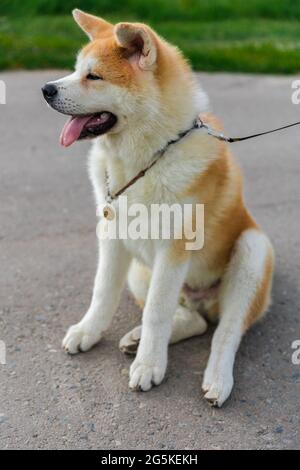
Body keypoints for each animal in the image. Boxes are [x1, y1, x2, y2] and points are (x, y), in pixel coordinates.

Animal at [42, 10, 274, 408]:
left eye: (94, 76)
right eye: (73, 70)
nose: (46, 89)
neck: (142, 161)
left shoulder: (174, 250)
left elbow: (156, 312)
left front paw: (149, 366)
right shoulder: (112, 238)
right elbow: (102, 291)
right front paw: (89, 331)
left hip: (252, 250)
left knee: (226, 331)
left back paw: (217, 379)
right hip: (140, 270)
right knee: (194, 320)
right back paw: (137, 340)